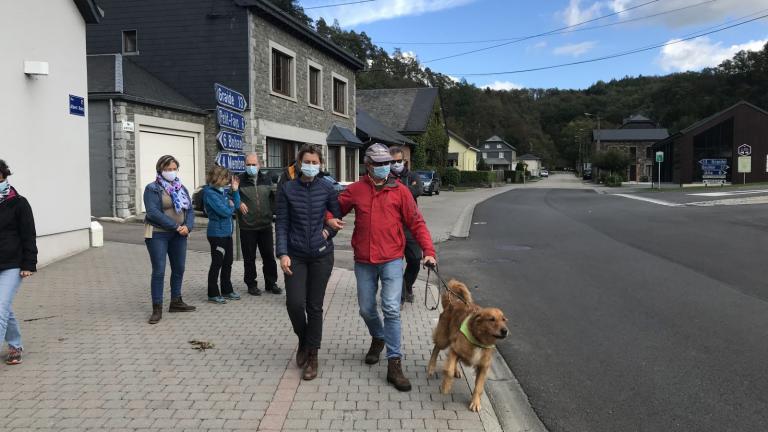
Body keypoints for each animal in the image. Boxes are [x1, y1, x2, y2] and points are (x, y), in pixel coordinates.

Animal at [428, 280, 508, 412]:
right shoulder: (455, 349)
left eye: (503, 320)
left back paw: (457, 370)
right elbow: (448, 371)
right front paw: (446, 386)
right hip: (443, 339)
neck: (479, 340)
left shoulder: (483, 366)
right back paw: (431, 368)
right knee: (436, 349)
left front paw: (475, 402)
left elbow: (478, 387)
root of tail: (453, 302)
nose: (505, 331)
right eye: (491, 319)